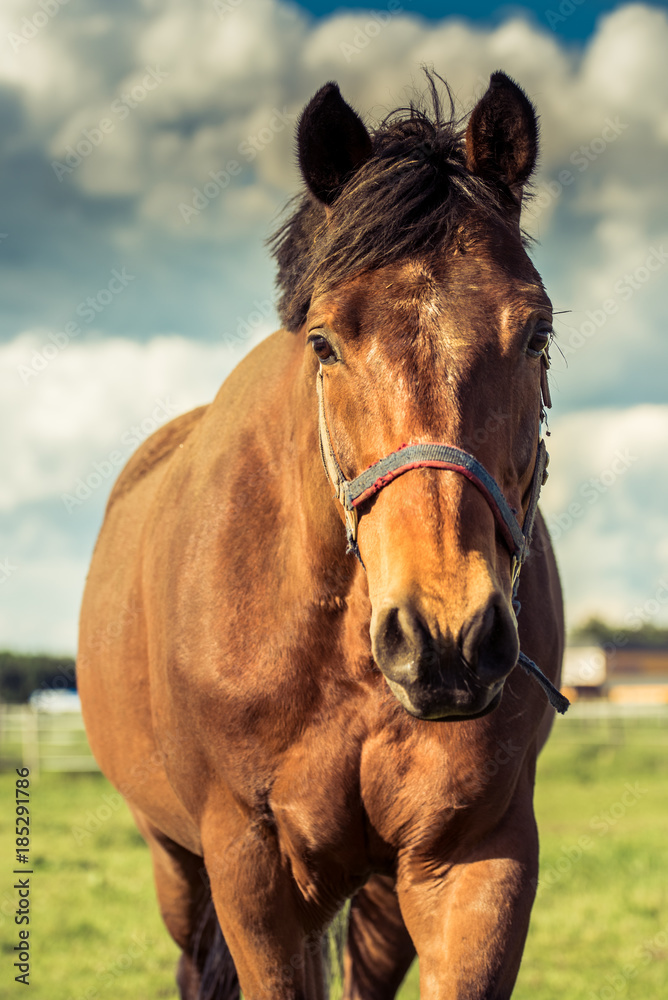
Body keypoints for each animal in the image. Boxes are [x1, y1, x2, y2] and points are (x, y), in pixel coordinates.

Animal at [78, 70, 565, 1000]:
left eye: (536, 333)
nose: (446, 640)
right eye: (325, 341)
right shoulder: (253, 873)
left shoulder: (474, 863)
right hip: (175, 862)